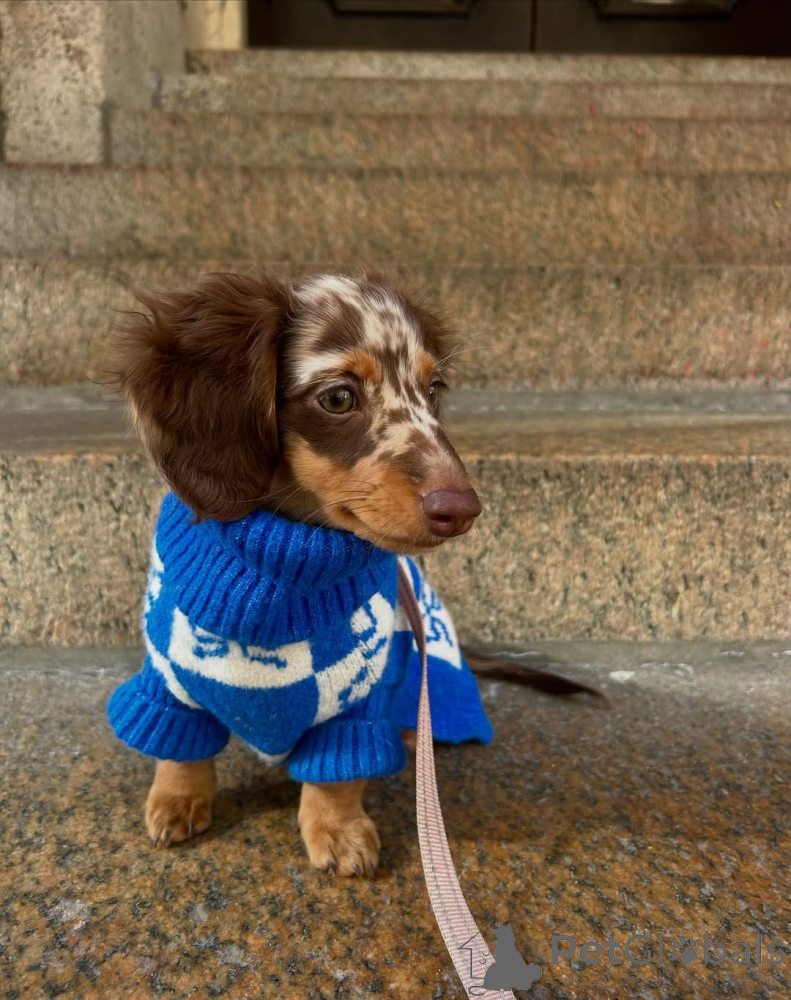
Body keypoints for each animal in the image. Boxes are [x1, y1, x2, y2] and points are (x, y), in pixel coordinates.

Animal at [106, 269, 596, 877]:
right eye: (339, 397)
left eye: (434, 391)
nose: (462, 510)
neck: (279, 579)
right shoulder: (168, 680)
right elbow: (178, 752)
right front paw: (176, 800)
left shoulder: (357, 696)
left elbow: (337, 776)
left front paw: (338, 831)